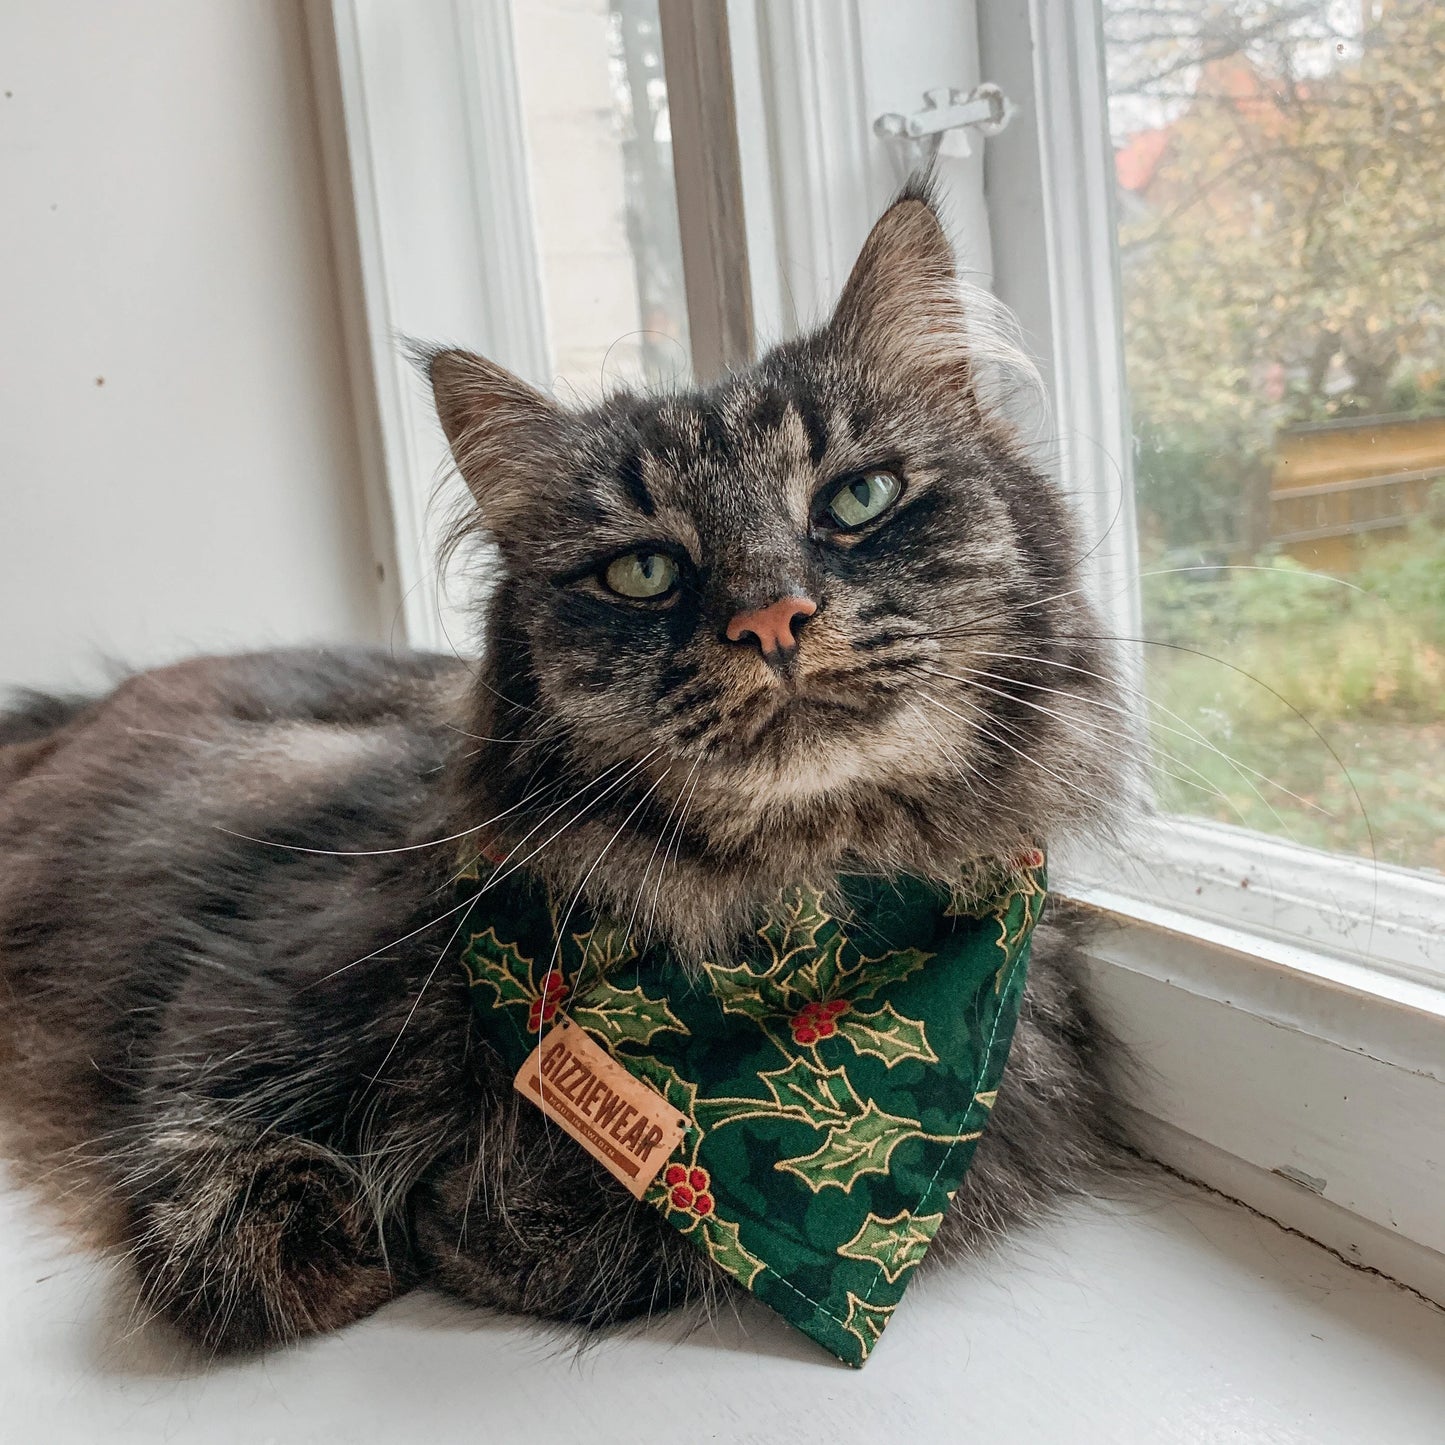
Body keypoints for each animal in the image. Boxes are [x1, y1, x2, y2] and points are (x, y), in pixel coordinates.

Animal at [0, 183, 1127, 1352]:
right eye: (644, 570)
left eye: (857, 500)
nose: (771, 616)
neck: (774, 934)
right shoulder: (249, 975)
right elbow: (244, 1240)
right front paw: (396, 1225)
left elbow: (583, 1247)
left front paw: (474, 1214)